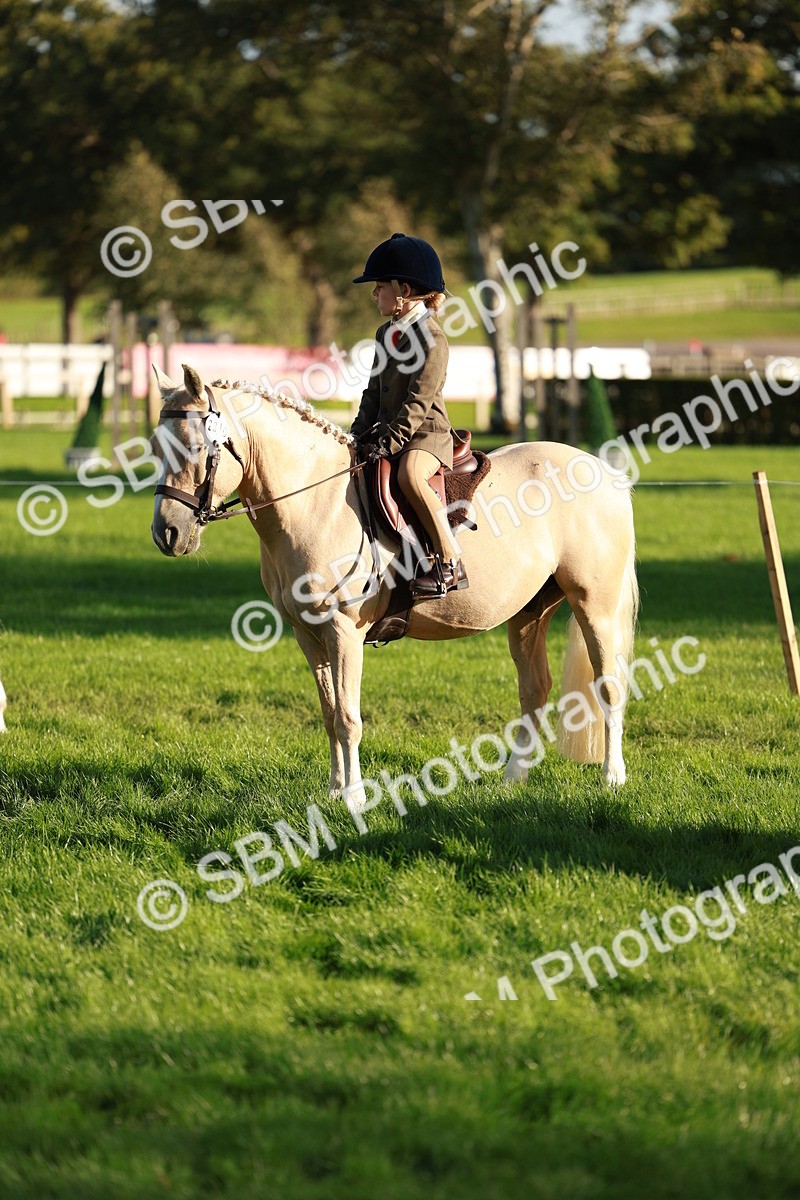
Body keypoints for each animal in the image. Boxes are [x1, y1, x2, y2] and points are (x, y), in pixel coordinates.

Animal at [150, 364, 638, 806]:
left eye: (196, 447)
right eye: (155, 447)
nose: (166, 534)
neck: (317, 502)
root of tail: (601, 469)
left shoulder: (343, 631)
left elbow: (348, 719)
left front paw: (354, 799)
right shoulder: (308, 635)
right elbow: (329, 714)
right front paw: (334, 791)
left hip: (593, 605)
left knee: (609, 686)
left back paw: (612, 777)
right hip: (529, 612)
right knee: (534, 690)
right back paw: (512, 780)